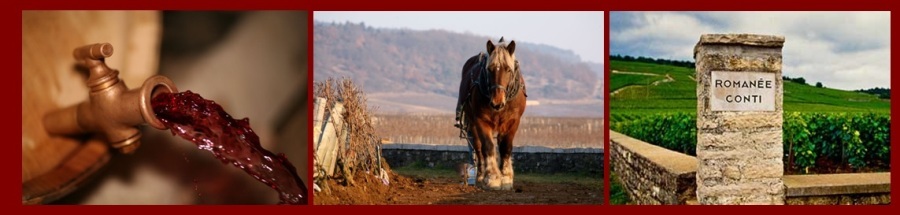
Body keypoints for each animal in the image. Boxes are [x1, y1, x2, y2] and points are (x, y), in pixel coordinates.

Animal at [454, 37, 524, 191]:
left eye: (508, 69)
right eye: (489, 69)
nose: (497, 102)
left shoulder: (513, 121)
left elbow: (506, 147)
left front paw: (506, 178)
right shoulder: (481, 120)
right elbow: (488, 146)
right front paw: (492, 178)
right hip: (472, 123)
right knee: (478, 148)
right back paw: (480, 176)